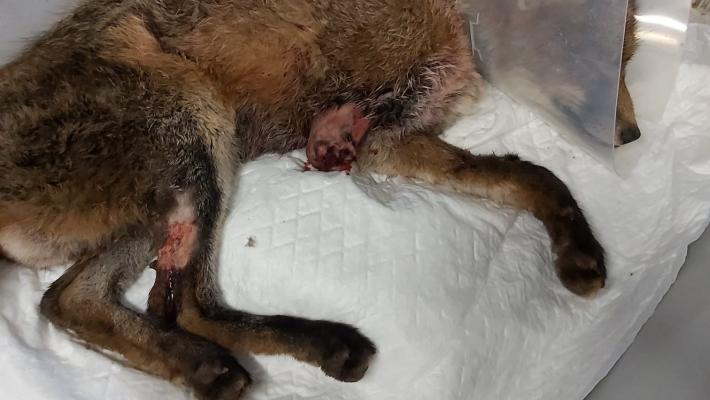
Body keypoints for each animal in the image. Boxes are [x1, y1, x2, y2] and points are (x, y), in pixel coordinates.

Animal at [0, 0, 634, 398]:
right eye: (599, 54)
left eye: (626, 57)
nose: (630, 135)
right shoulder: (380, 121)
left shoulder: (396, 143)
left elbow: (531, 177)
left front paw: (577, 248)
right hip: (198, 120)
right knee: (184, 306)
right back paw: (314, 345)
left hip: (162, 202)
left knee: (73, 301)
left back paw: (202, 367)